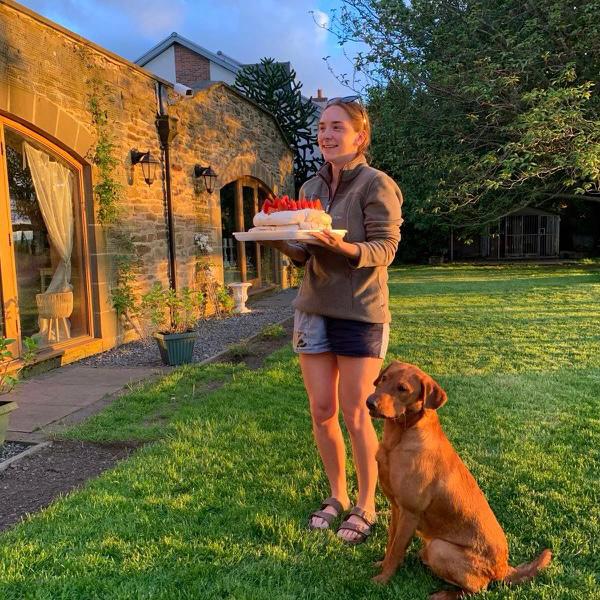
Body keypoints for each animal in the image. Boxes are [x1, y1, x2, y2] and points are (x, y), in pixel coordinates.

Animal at [366, 360, 552, 600]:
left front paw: (383, 579)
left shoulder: (410, 512)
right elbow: (391, 545)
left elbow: (397, 550)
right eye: (383, 378)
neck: (398, 437)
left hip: (439, 547)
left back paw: (444, 594)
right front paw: (382, 565)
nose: (369, 402)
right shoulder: (397, 508)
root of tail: (503, 568)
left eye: (403, 389)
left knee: (478, 588)